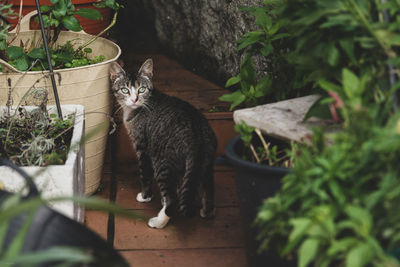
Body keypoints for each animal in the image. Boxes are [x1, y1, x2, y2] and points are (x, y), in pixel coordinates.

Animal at [109, 59, 217, 229]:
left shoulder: (143, 149)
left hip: (163, 163)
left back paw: (159, 221)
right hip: (206, 162)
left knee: (172, 199)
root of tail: (196, 133)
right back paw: (207, 212)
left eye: (142, 89)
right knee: (208, 186)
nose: (134, 99)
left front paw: (145, 196)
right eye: (125, 90)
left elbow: (145, 176)